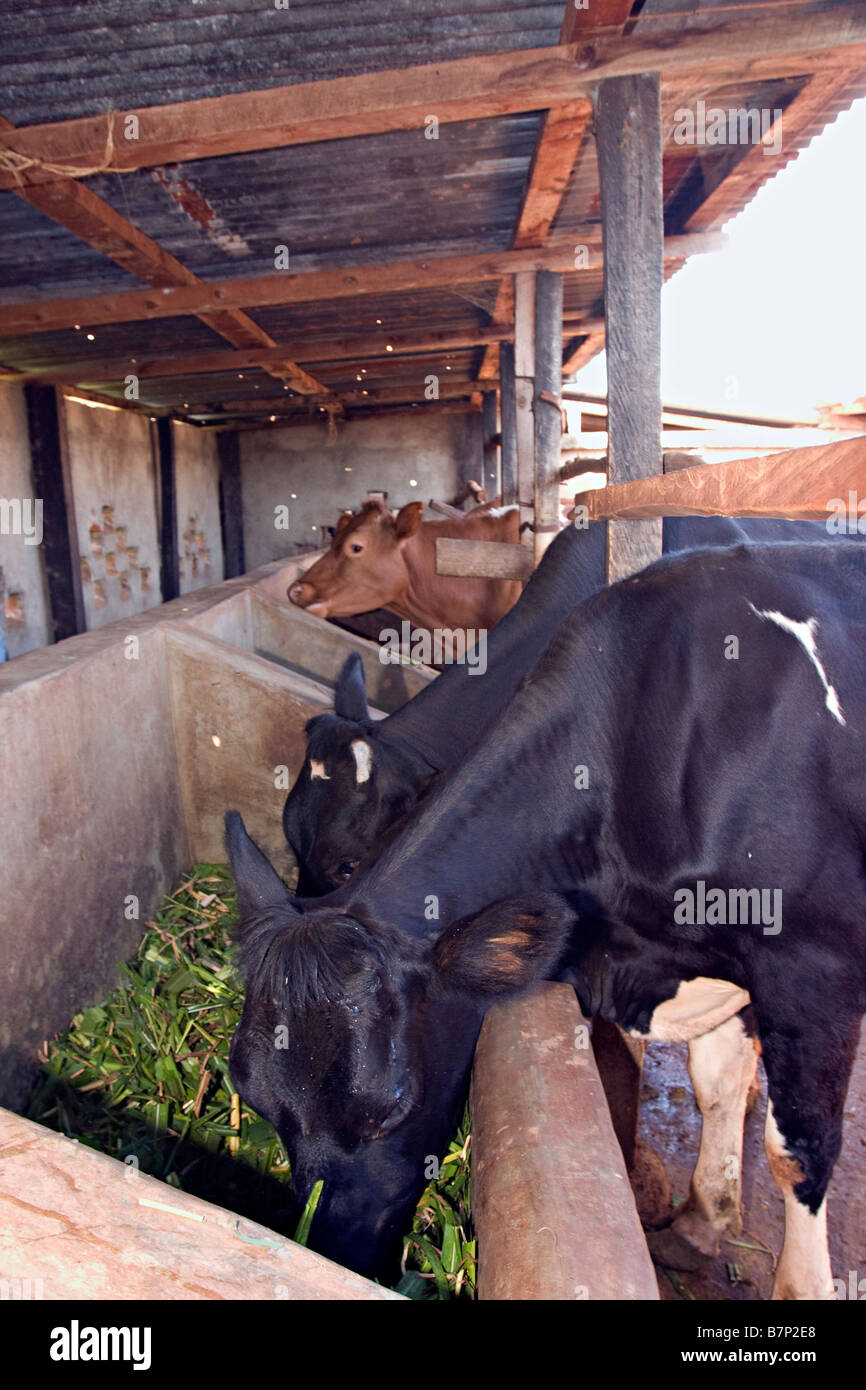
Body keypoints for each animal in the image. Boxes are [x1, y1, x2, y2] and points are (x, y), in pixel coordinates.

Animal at [228, 540, 866, 1298]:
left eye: (393, 1105)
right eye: (258, 1102)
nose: (336, 1250)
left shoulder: (811, 967)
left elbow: (799, 1150)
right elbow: (716, 1086)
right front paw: (699, 1223)